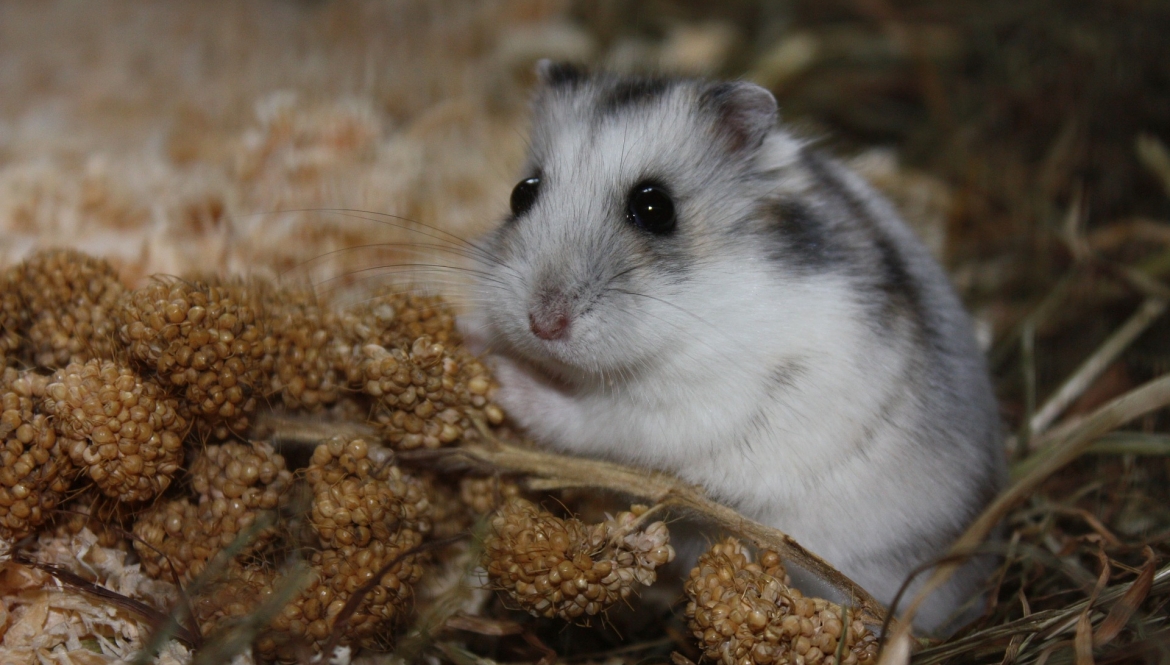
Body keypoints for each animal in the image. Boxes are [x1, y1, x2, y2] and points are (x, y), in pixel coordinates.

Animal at [463, 63, 1006, 632]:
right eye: (520, 194)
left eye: (655, 207)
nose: (542, 324)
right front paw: (472, 332)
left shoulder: (684, 409)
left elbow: (585, 419)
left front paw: (502, 374)